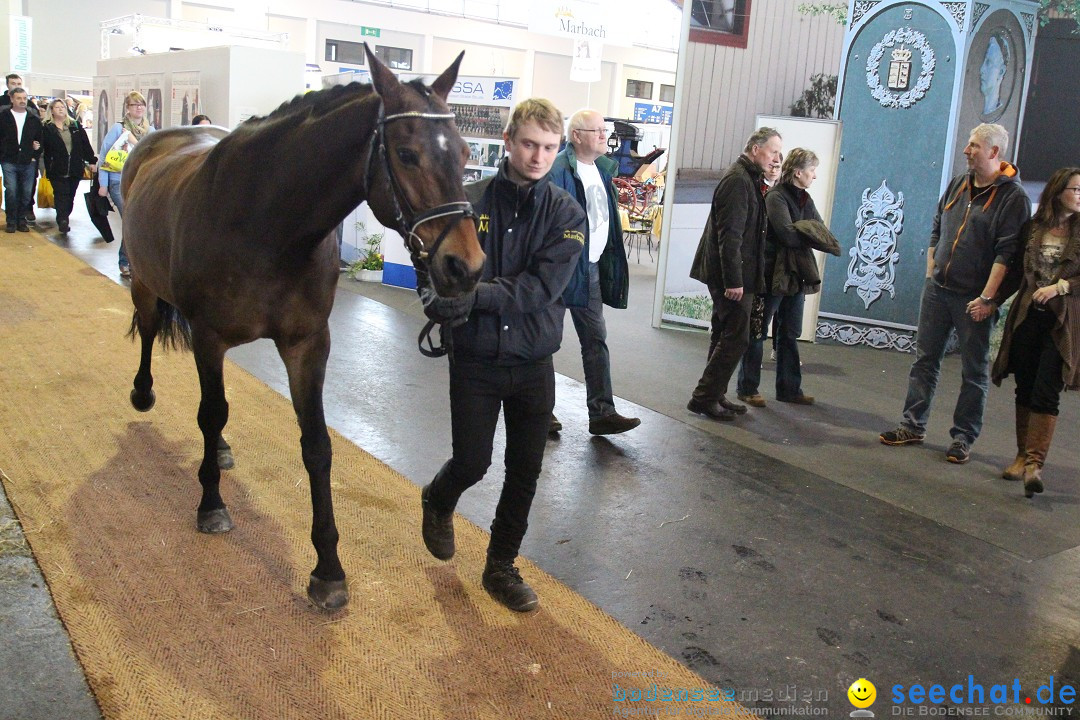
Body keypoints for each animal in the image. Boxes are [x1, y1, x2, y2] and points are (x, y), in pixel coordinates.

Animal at [119, 46, 486, 608]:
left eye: (466, 153)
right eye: (406, 154)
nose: (465, 266)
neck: (268, 223)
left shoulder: (307, 344)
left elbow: (316, 446)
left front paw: (328, 568)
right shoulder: (208, 337)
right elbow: (211, 412)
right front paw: (210, 504)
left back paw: (220, 450)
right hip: (144, 282)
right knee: (148, 327)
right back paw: (144, 393)